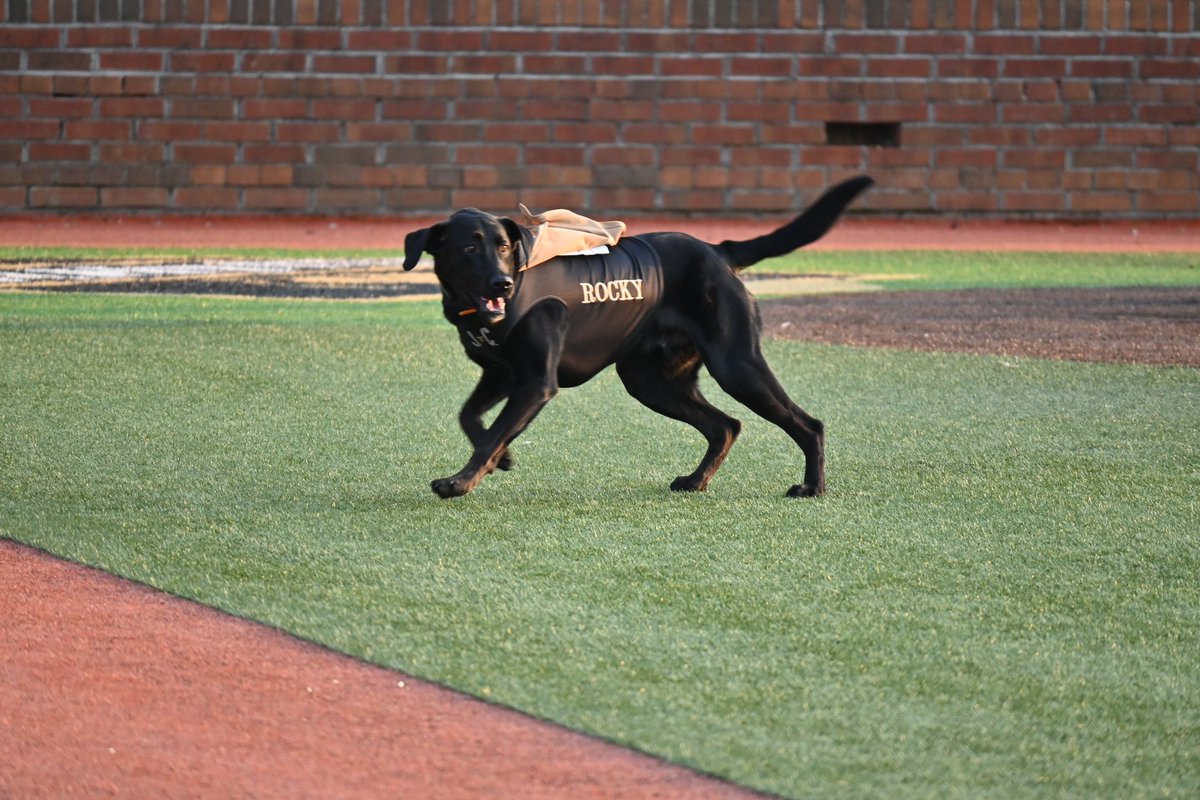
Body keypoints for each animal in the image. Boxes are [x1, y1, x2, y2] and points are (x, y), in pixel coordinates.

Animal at [403, 178, 873, 496]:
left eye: (504, 247)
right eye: (469, 248)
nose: (502, 284)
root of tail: (718, 251)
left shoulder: (536, 382)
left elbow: (493, 432)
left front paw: (460, 481)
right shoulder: (501, 374)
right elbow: (471, 418)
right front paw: (501, 459)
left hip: (736, 365)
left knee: (807, 424)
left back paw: (811, 488)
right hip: (649, 379)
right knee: (725, 425)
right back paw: (696, 481)